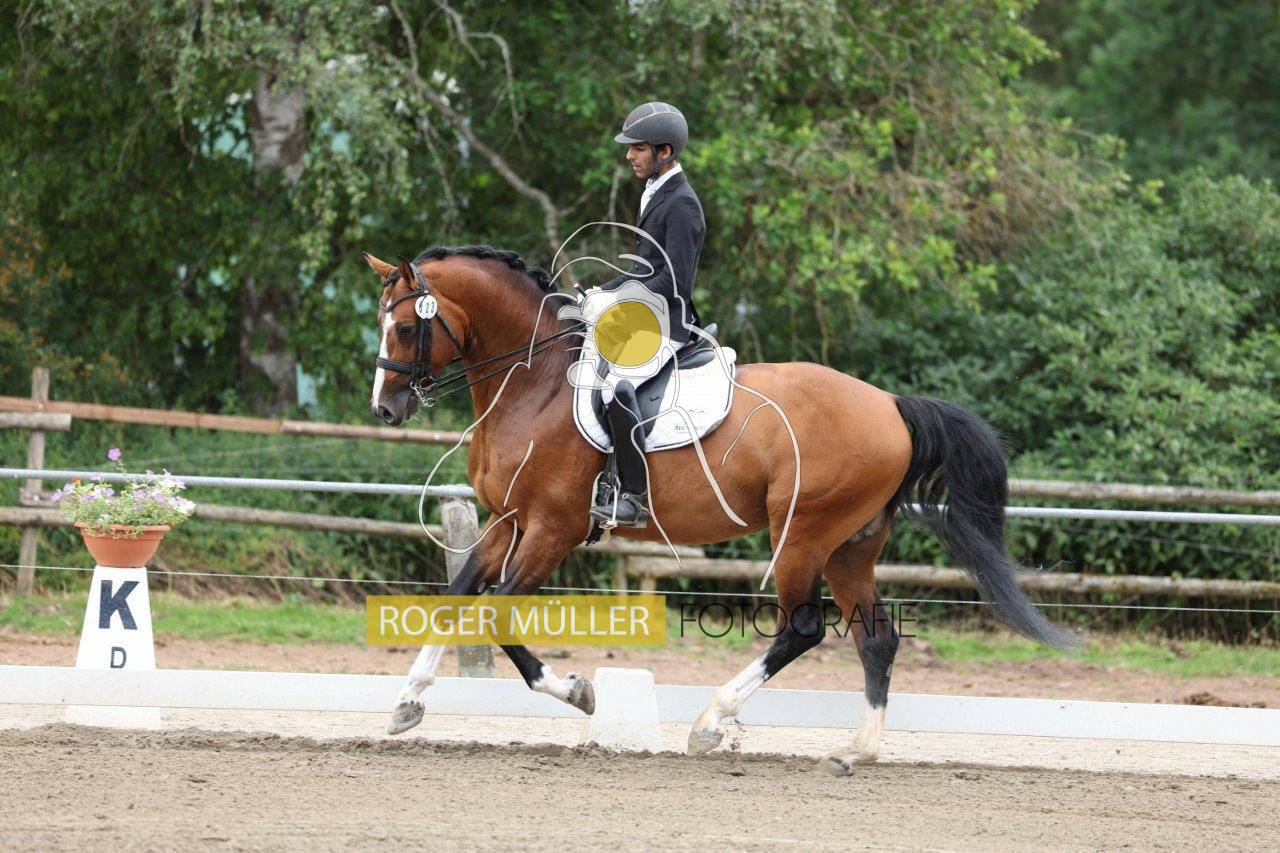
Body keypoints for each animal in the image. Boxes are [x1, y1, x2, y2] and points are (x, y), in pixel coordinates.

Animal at [365, 245, 1077, 774]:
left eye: (407, 327)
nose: (385, 410)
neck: (531, 384)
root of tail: (892, 406)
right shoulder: (508, 521)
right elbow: (455, 594)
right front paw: (405, 703)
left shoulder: (552, 529)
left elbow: (498, 613)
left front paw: (581, 692)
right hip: (849, 547)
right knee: (876, 636)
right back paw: (855, 751)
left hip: (803, 534)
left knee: (803, 629)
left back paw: (710, 724)